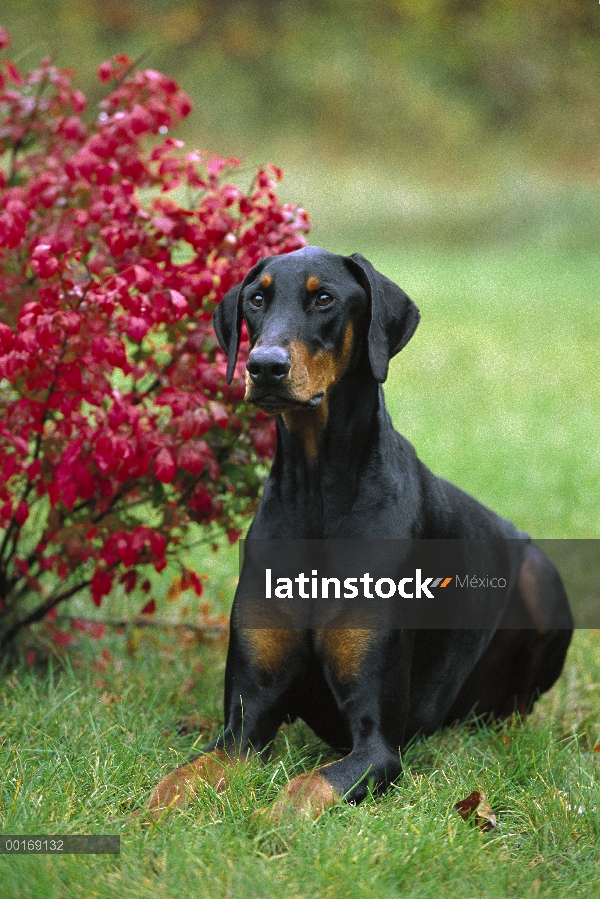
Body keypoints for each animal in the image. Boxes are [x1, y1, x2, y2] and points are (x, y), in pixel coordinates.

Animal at [148, 250, 576, 820]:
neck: (319, 495)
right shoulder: (246, 723)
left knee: (518, 706)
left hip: (540, 577)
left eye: (324, 298)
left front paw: (261, 824)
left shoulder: (378, 744)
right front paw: (144, 819)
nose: (263, 366)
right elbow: (178, 780)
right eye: (256, 299)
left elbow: (305, 788)